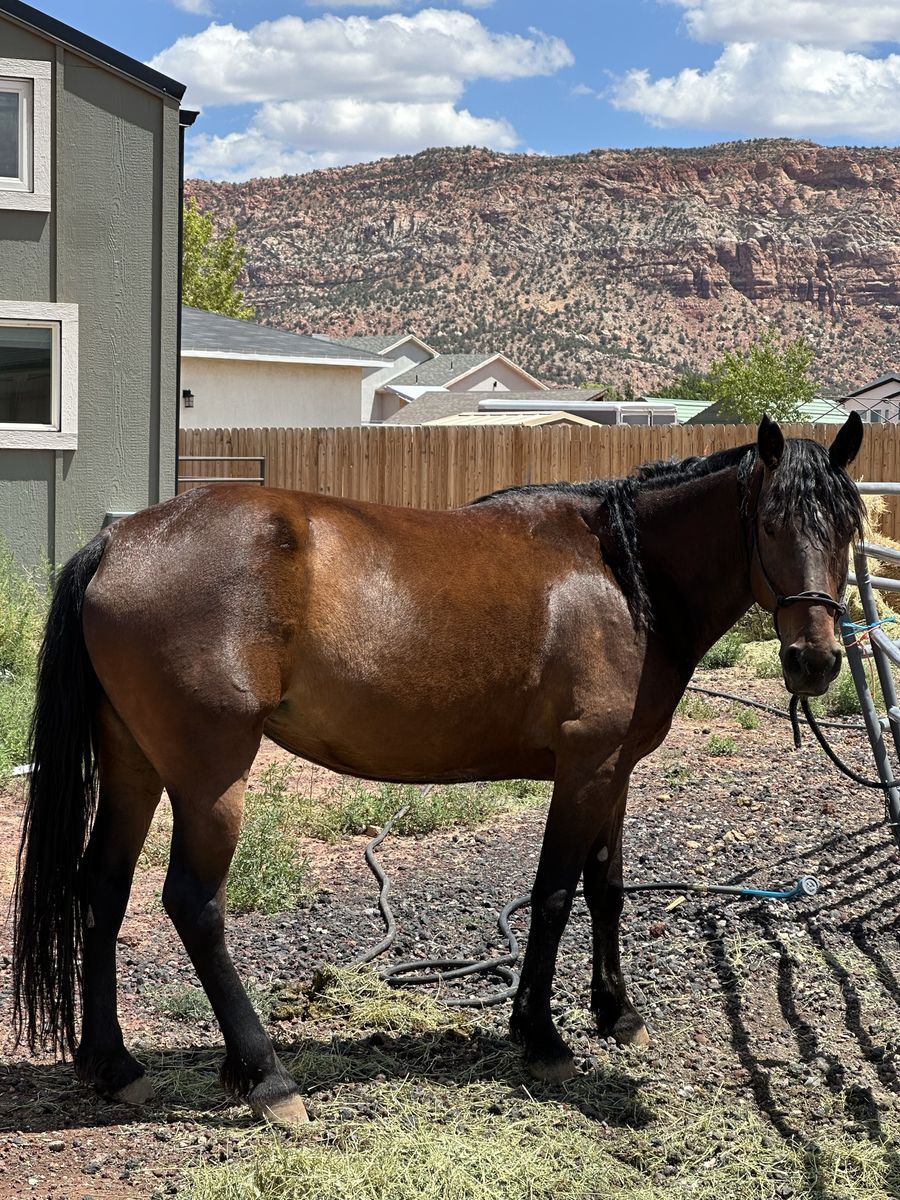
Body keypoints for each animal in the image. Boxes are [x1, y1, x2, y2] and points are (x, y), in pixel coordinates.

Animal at [12, 413, 864, 1125]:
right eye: (770, 522)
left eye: (849, 526)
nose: (815, 661)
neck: (623, 575)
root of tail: (117, 544)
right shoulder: (585, 766)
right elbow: (554, 895)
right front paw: (540, 1037)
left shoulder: (614, 769)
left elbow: (608, 889)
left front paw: (616, 1013)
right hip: (210, 776)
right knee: (194, 905)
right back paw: (269, 1079)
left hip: (133, 765)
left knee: (102, 890)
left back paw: (113, 1065)